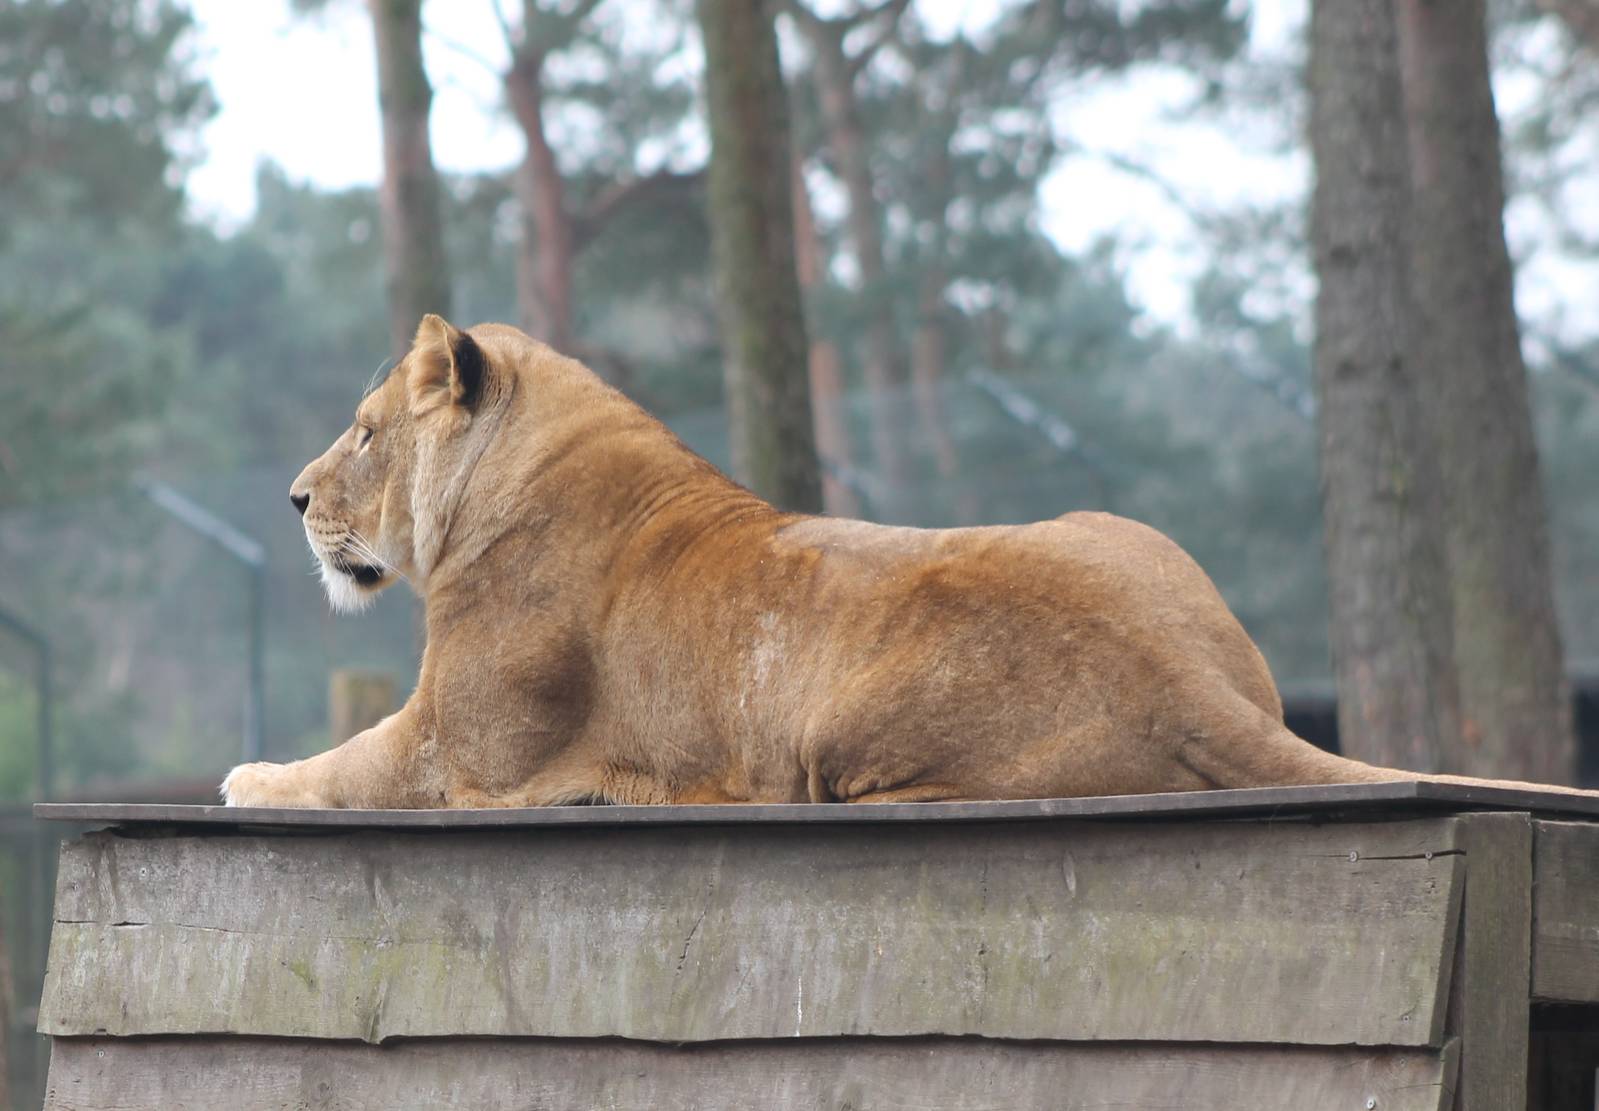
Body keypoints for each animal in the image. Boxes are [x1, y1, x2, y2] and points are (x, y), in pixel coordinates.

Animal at [222, 315, 1590, 808]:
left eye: (363, 431)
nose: (291, 497)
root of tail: (1186, 677)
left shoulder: (466, 751)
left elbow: (344, 767)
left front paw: (248, 777)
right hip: (1118, 530)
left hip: (840, 729)